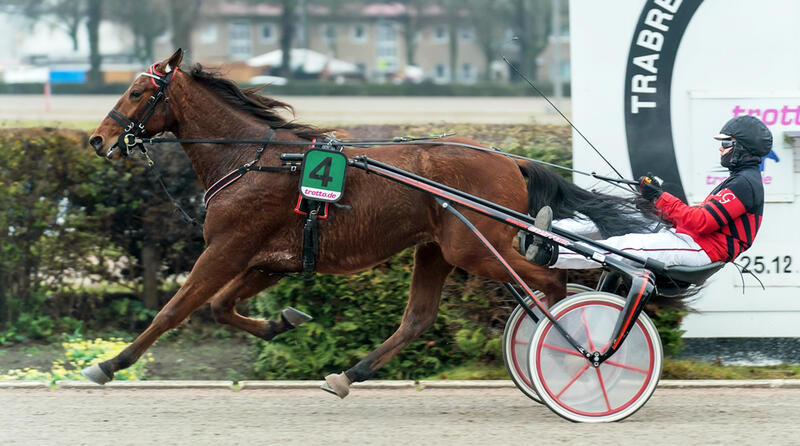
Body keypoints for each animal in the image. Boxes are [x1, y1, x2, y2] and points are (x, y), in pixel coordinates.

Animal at [84, 49, 656, 398]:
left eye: (137, 92)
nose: (97, 139)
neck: (253, 157)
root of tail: (508, 160)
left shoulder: (227, 247)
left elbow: (174, 310)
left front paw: (110, 364)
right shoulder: (268, 259)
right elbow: (223, 308)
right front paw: (284, 320)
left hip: (474, 247)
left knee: (549, 282)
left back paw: (574, 352)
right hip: (439, 248)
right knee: (418, 318)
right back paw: (348, 374)